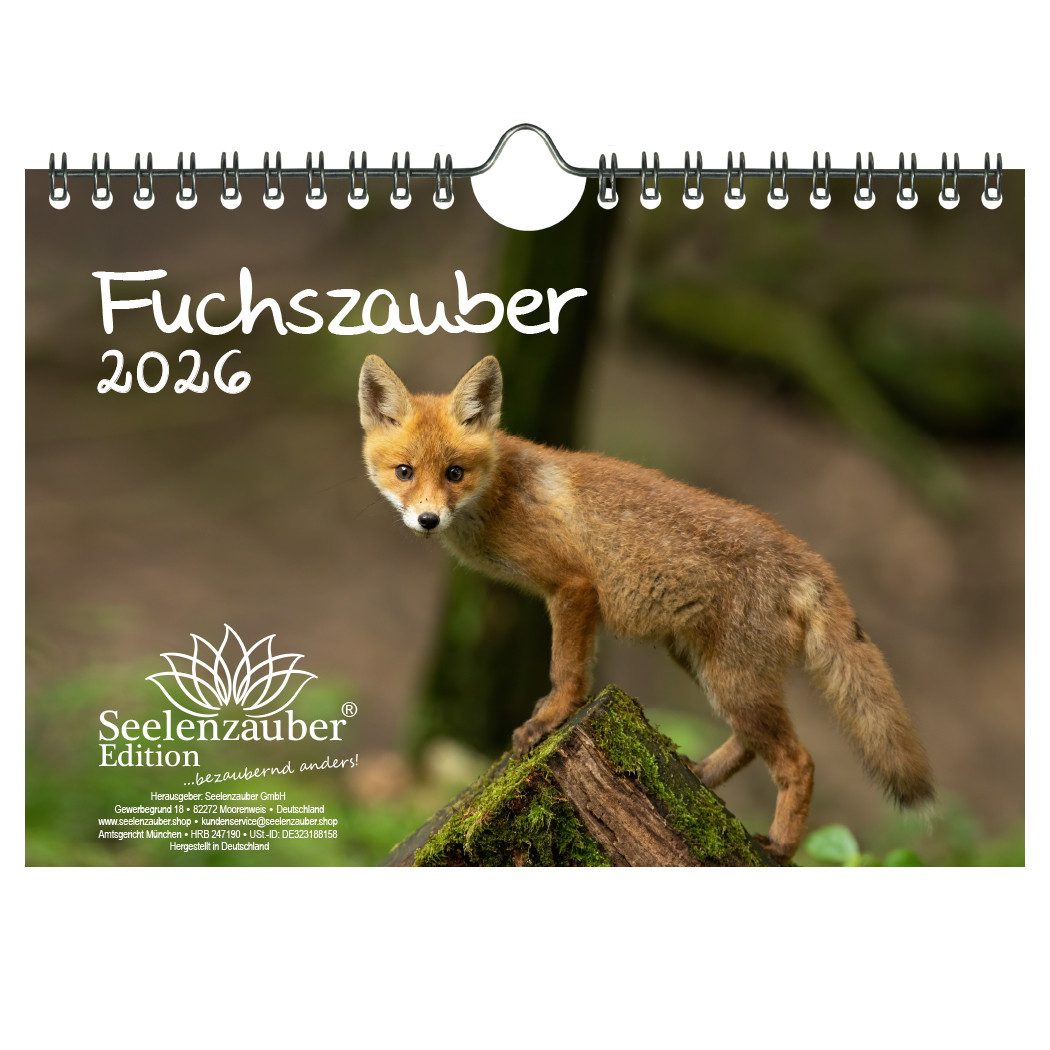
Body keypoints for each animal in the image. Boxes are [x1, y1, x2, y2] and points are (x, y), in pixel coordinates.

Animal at [358, 353, 935, 860]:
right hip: (710, 669)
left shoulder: (573, 587)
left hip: (733, 680)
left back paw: (780, 846)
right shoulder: (577, 599)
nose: (428, 519)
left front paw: (550, 720)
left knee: (800, 760)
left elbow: (566, 671)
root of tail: (807, 557)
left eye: (455, 473)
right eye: (405, 471)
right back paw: (701, 778)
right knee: (753, 743)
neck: (501, 493)